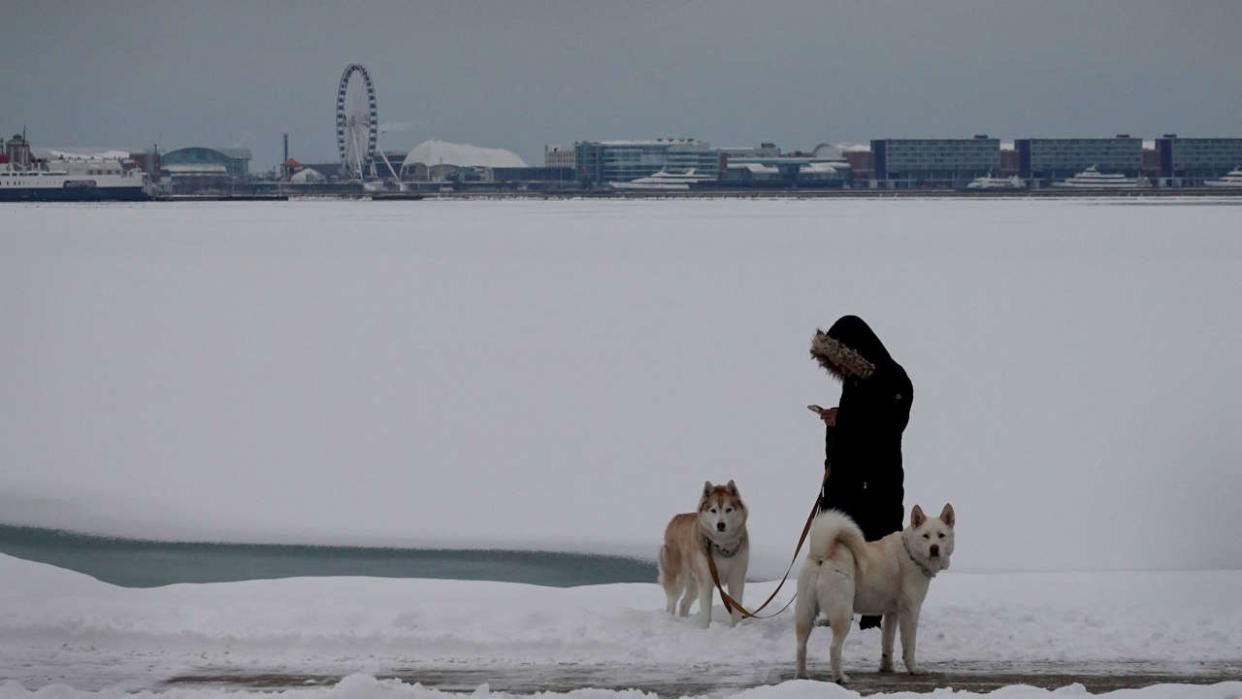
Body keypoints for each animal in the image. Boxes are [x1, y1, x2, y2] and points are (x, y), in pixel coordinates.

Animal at [660, 481, 745, 628]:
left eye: (728, 509)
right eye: (713, 510)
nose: (721, 524)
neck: (722, 546)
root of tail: (675, 519)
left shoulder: (736, 578)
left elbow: (736, 609)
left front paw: (736, 627)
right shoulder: (706, 579)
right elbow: (706, 612)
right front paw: (706, 628)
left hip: (694, 583)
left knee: (683, 603)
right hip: (676, 578)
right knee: (671, 601)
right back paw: (670, 619)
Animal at [789, 504, 953, 685]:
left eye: (941, 535)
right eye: (925, 536)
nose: (934, 548)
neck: (910, 553)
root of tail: (822, 555)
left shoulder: (891, 614)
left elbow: (887, 644)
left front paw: (886, 668)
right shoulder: (910, 612)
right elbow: (909, 646)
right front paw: (914, 670)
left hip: (806, 614)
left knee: (800, 646)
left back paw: (802, 676)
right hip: (842, 614)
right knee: (834, 648)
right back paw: (840, 677)